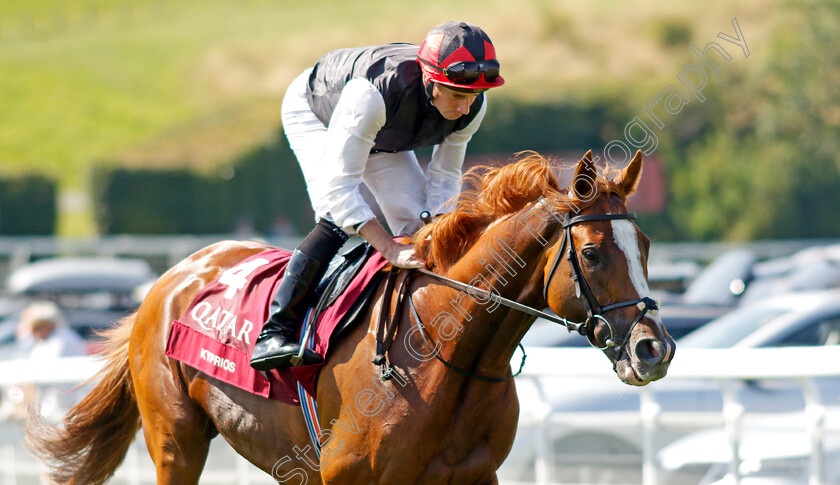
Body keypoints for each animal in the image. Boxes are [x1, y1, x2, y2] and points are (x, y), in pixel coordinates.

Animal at [26, 150, 676, 484]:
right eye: (592, 253)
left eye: (646, 247)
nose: (654, 349)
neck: (445, 355)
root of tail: (169, 278)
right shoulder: (346, 476)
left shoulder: (473, 475)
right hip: (175, 438)